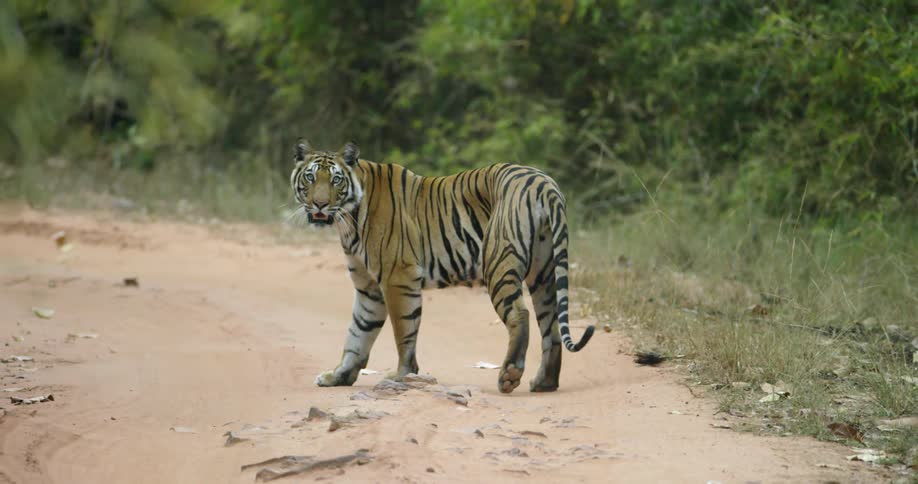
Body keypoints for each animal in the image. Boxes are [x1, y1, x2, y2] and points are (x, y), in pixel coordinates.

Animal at [289, 140, 594, 393]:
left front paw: (402, 376)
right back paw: (544, 382)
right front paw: (338, 376)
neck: (348, 219)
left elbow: (403, 331)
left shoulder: (398, 277)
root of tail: (542, 182)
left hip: (499, 260)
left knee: (520, 314)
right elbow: (357, 333)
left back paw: (509, 376)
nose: (320, 204)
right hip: (544, 273)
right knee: (550, 325)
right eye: (310, 177)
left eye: (336, 180)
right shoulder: (369, 288)